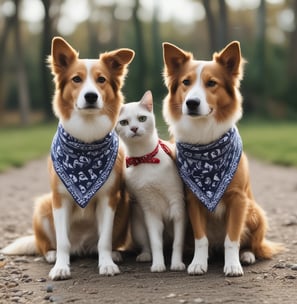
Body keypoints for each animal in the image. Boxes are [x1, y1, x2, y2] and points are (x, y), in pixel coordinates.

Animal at [1, 36, 134, 280]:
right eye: (76, 79)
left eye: (101, 79)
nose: (90, 96)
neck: (86, 138)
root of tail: (81, 248)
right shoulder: (60, 199)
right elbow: (63, 241)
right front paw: (60, 268)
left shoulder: (108, 198)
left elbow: (104, 240)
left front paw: (107, 264)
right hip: (43, 206)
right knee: (47, 245)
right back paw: (52, 255)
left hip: (124, 204)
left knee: (101, 243)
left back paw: (114, 253)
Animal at [115, 91, 185, 274]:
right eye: (124, 122)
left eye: (141, 118)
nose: (134, 128)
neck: (144, 159)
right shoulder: (150, 210)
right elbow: (155, 242)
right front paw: (158, 264)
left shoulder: (178, 206)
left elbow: (178, 242)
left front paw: (176, 263)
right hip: (138, 225)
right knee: (147, 244)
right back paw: (146, 255)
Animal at [162, 41, 282, 276]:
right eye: (186, 82)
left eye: (211, 83)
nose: (191, 103)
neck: (204, 141)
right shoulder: (193, 199)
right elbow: (201, 238)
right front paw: (198, 263)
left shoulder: (238, 200)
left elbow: (232, 239)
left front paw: (233, 265)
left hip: (255, 212)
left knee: (254, 245)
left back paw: (247, 255)